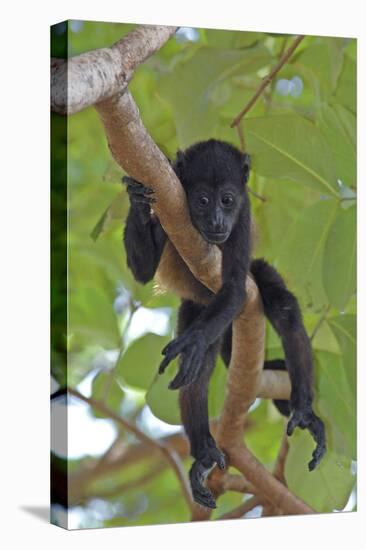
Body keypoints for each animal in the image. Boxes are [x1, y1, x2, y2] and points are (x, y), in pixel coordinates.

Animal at [123, 140, 326, 512]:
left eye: (228, 200)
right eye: (202, 200)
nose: (217, 220)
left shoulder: (242, 219)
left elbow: (233, 288)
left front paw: (191, 343)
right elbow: (142, 271)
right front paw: (136, 198)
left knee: (285, 311)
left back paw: (304, 411)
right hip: (196, 309)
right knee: (200, 370)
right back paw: (203, 452)